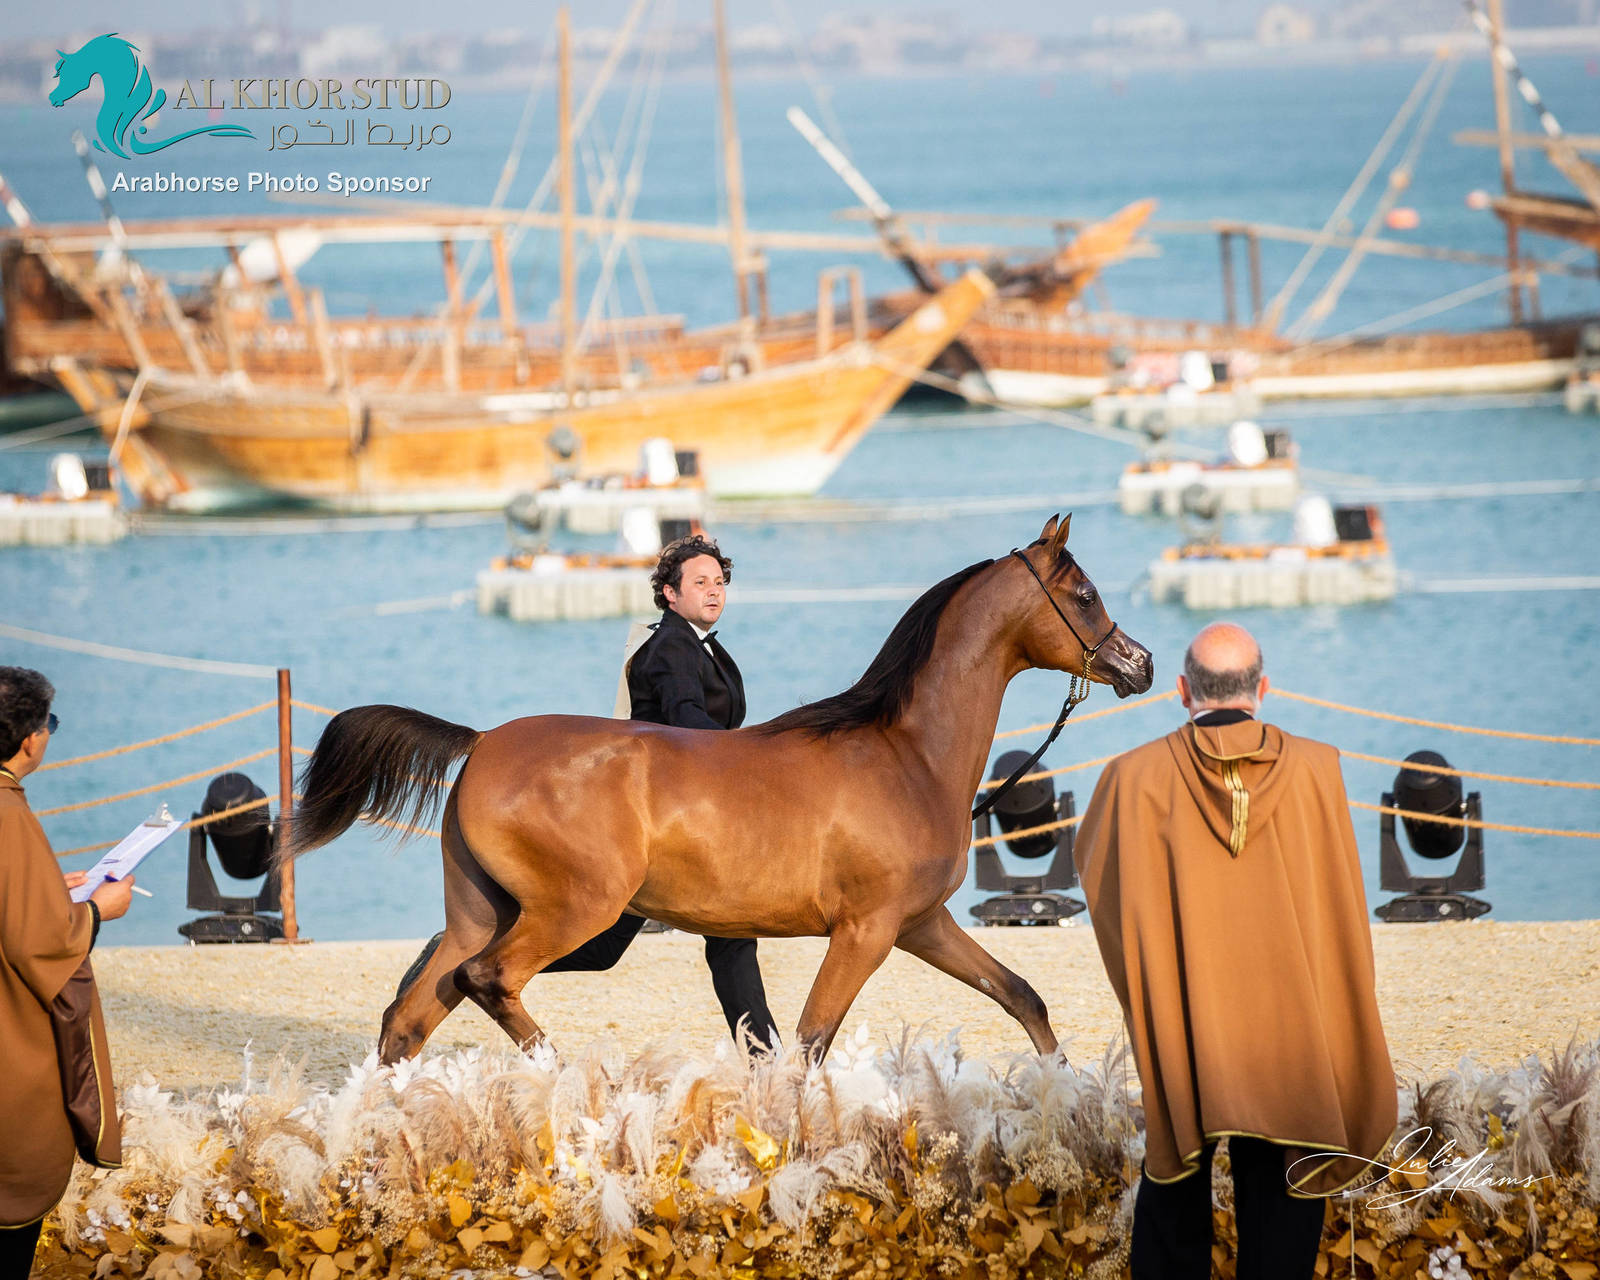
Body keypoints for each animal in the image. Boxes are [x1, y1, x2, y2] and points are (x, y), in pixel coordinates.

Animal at [287, 516, 1154, 1064]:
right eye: (1083, 596)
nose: (1138, 664)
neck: (907, 754)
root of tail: (481, 743)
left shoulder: (922, 924)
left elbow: (1023, 997)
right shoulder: (866, 933)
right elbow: (808, 1045)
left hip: (482, 911)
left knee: (413, 1011)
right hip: (575, 910)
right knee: (484, 981)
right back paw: (554, 1070)